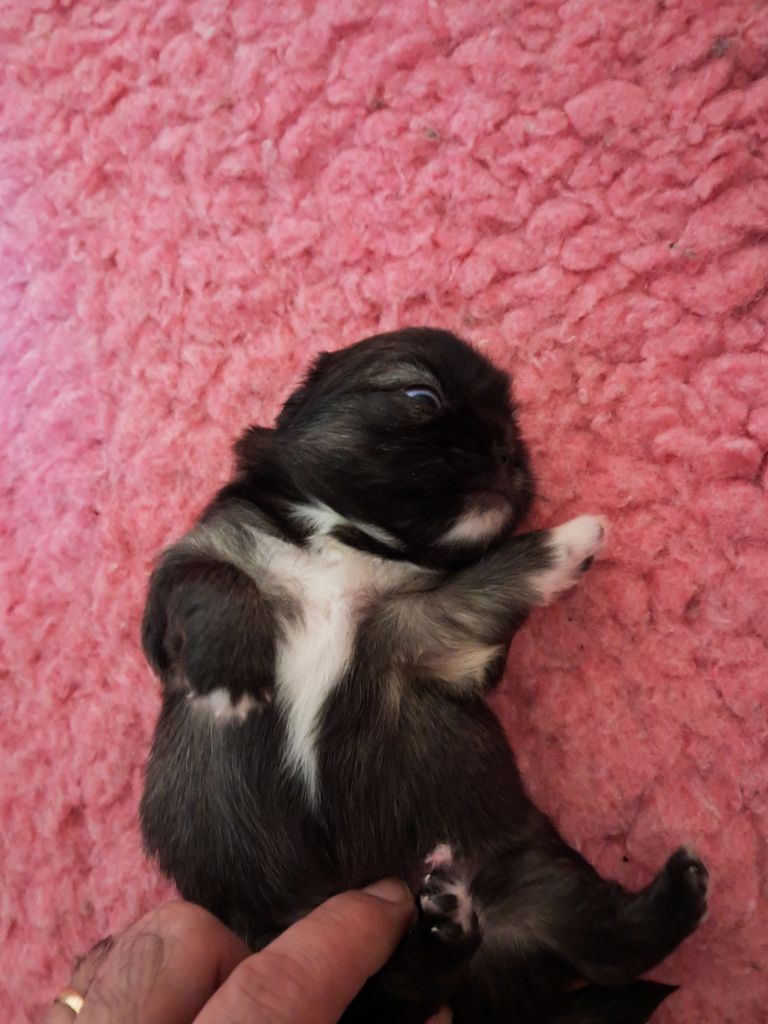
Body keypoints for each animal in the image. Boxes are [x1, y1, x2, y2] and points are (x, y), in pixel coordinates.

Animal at [140, 327, 708, 1022]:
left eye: (512, 422)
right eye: (420, 395)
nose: (507, 448)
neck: (347, 540)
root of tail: (493, 989)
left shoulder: (424, 625)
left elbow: (491, 580)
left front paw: (572, 538)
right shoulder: (198, 556)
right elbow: (220, 584)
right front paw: (227, 674)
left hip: (536, 876)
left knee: (607, 949)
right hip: (273, 928)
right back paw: (448, 928)